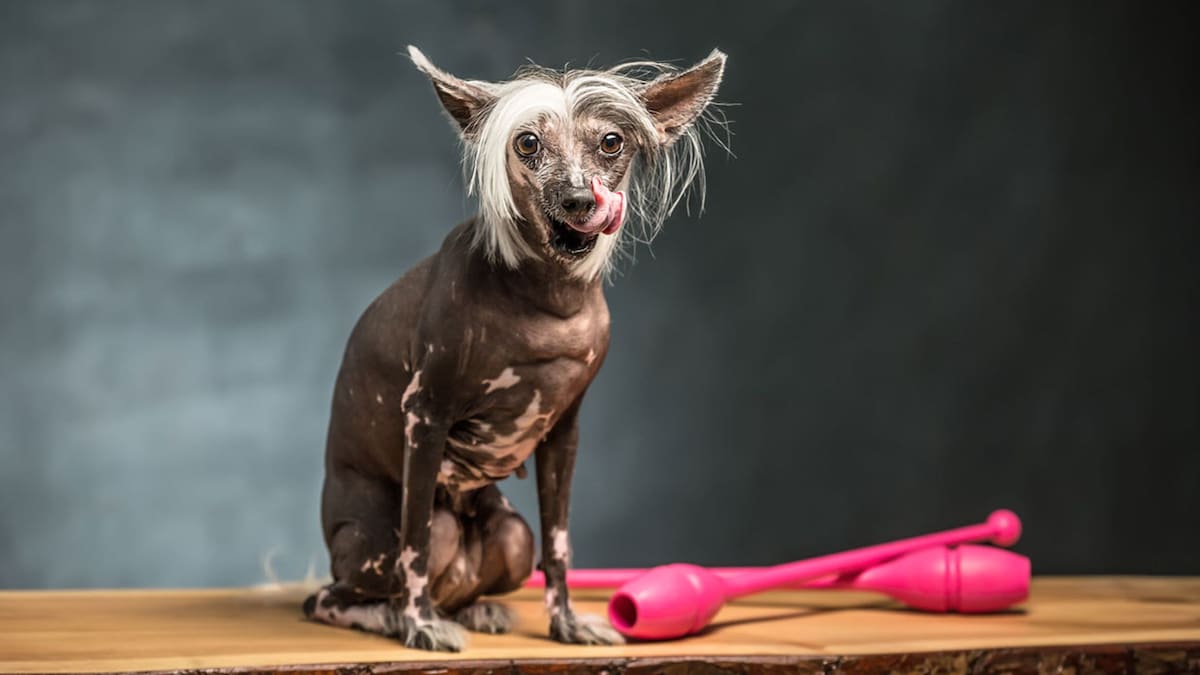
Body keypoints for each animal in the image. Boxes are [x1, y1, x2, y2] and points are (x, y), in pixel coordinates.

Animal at [304, 44, 724, 648]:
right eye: (527, 143)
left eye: (611, 141)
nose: (579, 199)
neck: (549, 300)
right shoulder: (424, 417)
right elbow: (415, 543)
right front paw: (420, 625)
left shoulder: (564, 433)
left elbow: (559, 543)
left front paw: (567, 623)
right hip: (381, 546)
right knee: (337, 593)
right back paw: (396, 616)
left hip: (510, 534)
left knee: (499, 557)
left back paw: (476, 609)